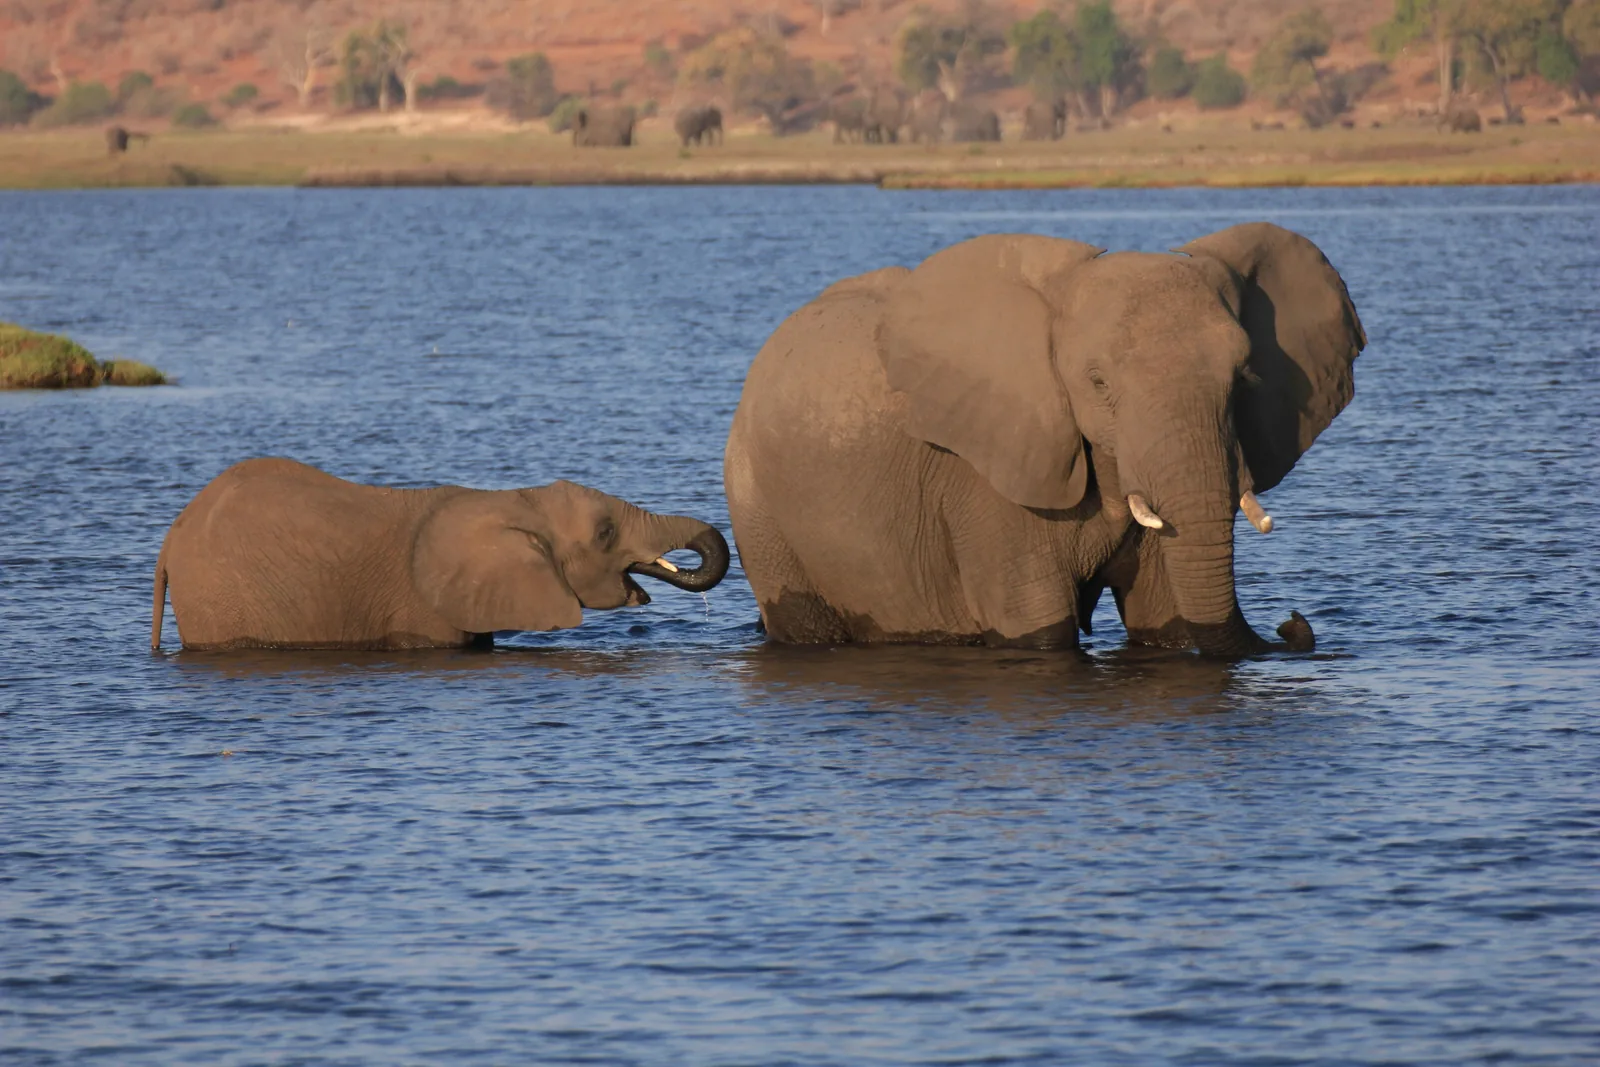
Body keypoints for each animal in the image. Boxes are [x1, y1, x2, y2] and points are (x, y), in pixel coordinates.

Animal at [723, 223, 1365, 657]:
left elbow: (1165, 618)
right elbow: (1039, 626)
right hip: (759, 508)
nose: (1291, 622)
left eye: (1243, 378)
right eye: (1098, 382)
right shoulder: (985, 471)